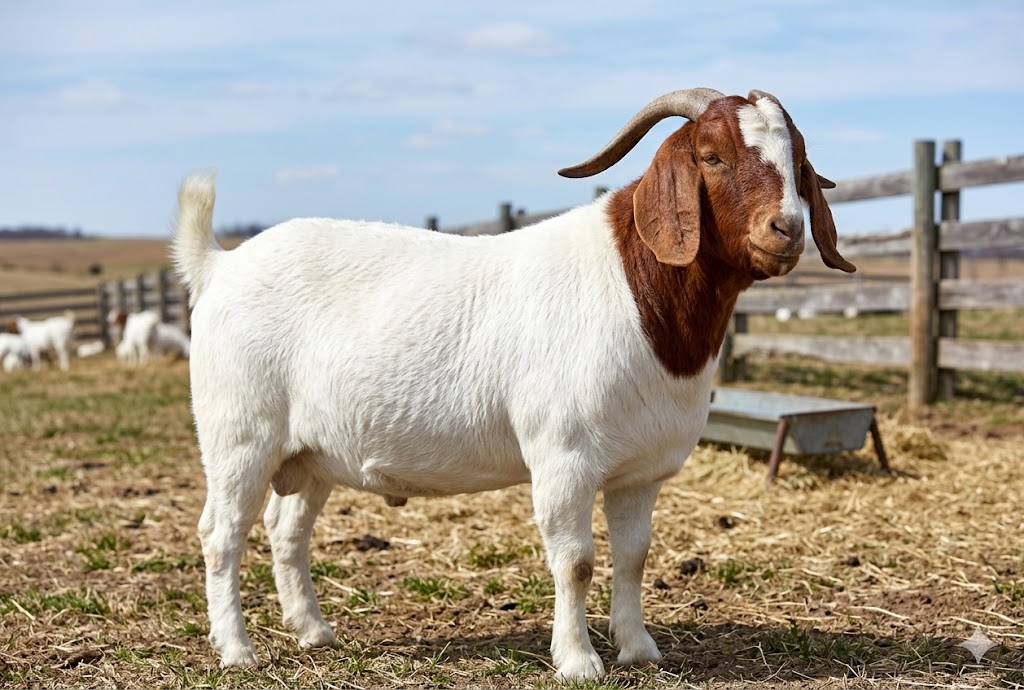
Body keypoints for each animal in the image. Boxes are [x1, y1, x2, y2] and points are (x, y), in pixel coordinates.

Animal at [172, 88, 854, 680]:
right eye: (712, 155)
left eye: (797, 159)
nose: (786, 229)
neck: (635, 290)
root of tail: (218, 266)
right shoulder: (563, 457)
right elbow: (576, 562)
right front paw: (578, 662)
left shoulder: (641, 471)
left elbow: (633, 557)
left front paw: (638, 648)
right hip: (239, 436)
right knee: (221, 535)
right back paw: (237, 651)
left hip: (310, 452)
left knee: (286, 530)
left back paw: (313, 631)